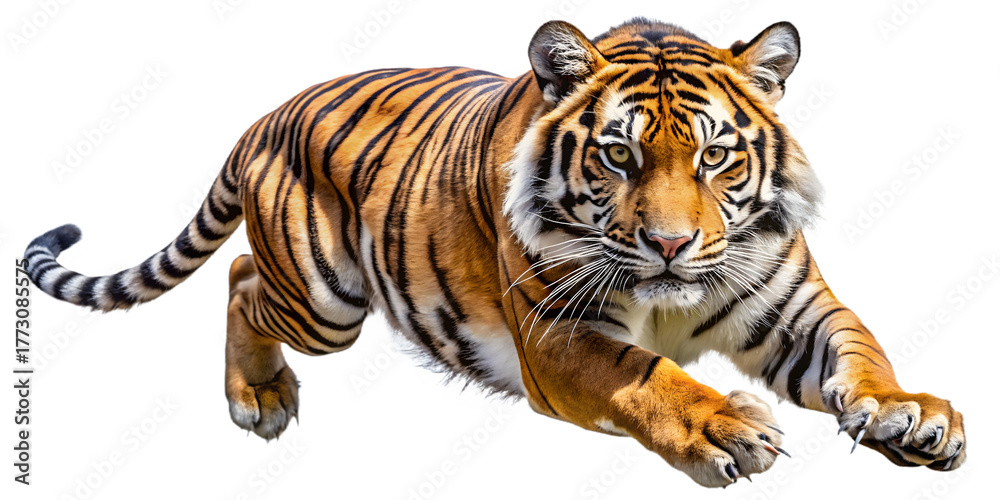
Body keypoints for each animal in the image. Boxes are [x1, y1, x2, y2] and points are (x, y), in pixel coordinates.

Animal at [25, 18, 965, 487]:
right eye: (617, 155)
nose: (668, 244)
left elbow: (862, 352)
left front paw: (912, 415)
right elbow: (651, 378)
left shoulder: (794, 306)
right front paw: (724, 425)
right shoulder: (557, 335)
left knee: (238, 268)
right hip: (326, 301)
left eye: (714, 157)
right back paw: (257, 395)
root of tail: (269, 111)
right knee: (240, 276)